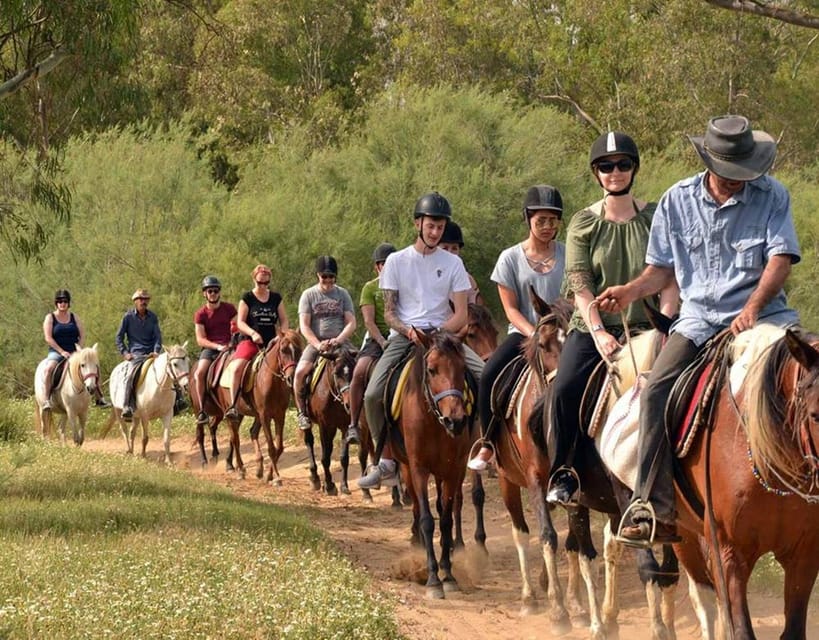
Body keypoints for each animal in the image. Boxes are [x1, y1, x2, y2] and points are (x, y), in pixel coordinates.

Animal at [302, 344, 358, 496]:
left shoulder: (345, 426)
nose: (350, 404)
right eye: (336, 373)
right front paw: (329, 485)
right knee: (309, 442)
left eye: (354, 371)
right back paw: (315, 478)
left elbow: (344, 458)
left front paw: (344, 486)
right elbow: (325, 458)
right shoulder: (325, 426)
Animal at [388, 330, 478, 600]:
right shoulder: (418, 468)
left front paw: (448, 575)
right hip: (407, 467)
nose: (455, 420)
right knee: (418, 509)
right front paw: (432, 579)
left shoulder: (452, 470)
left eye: (462, 368)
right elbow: (428, 520)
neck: (433, 421)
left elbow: (446, 519)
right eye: (431, 369)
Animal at [668, 330, 819, 640]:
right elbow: (740, 629)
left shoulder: (805, 554)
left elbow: (793, 630)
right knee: (704, 600)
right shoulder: (729, 554)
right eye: (814, 415)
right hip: (683, 534)